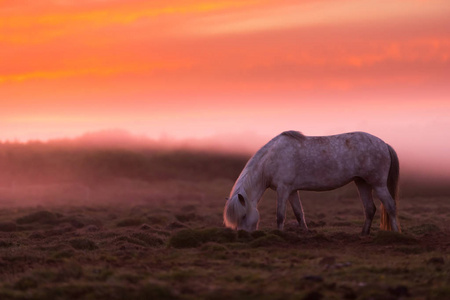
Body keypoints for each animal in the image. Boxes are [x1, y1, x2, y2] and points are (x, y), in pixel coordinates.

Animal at [223, 130, 400, 236]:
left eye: (244, 215)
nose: (243, 235)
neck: (271, 159)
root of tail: (384, 144)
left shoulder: (283, 189)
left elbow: (280, 215)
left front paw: (280, 234)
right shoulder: (292, 191)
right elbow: (299, 213)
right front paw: (305, 233)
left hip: (378, 184)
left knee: (390, 205)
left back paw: (396, 233)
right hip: (362, 183)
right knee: (370, 209)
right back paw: (363, 234)